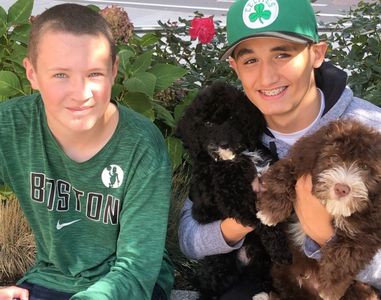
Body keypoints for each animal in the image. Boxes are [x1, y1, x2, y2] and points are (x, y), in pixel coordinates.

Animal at [175, 81, 290, 298]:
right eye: (207, 124)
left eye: (231, 118)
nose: (223, 144)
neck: (236, 157)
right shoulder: (231, 195)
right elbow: (261, 219)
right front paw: (281, 249)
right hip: (219, 264)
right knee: (209, 288)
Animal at [254, 119, 380, 300]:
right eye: (333, 158)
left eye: (364, 167)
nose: (342, 189)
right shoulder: (299, 161)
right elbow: (283, 175)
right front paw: (269, 213)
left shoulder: (368, 230)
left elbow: (347, 254)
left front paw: (330, 290)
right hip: (284, 271)